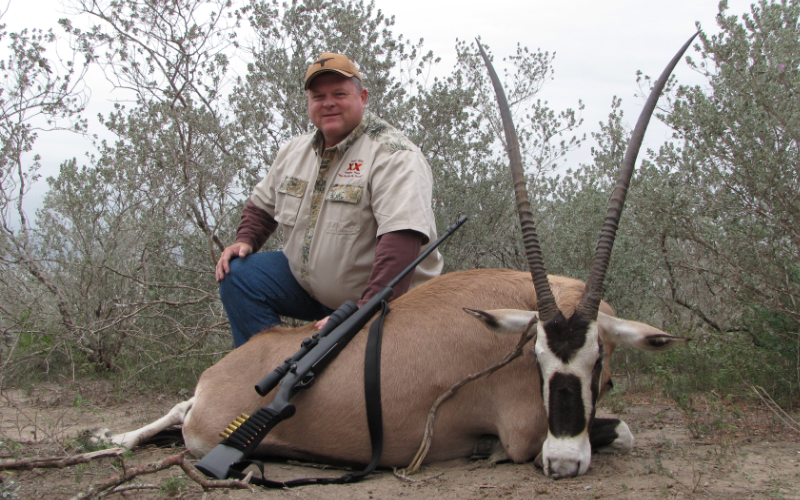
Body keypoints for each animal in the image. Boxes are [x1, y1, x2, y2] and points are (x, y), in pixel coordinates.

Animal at [95, 33, 692, 478]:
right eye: (539, 361)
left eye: (597, 361)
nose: (564, 463)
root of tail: (214, 381)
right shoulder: (526, 430)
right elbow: (623, 430)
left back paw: (113, 436)